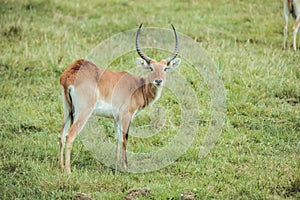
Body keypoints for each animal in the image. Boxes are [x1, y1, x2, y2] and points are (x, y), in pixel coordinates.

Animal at [58, 23, 180, 173]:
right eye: (151, 68)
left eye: (165, 69)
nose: (158, 81)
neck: (138, 86)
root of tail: (70, 74)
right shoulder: (126, 115)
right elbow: (124, 138)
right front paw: (125, 167)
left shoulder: (116, 117)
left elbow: (117, 138)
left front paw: (116, 166)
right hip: (83, 112)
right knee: (70, 136)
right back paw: (68, 171)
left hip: (67, 110)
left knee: (61, 135)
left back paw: (60, 166)